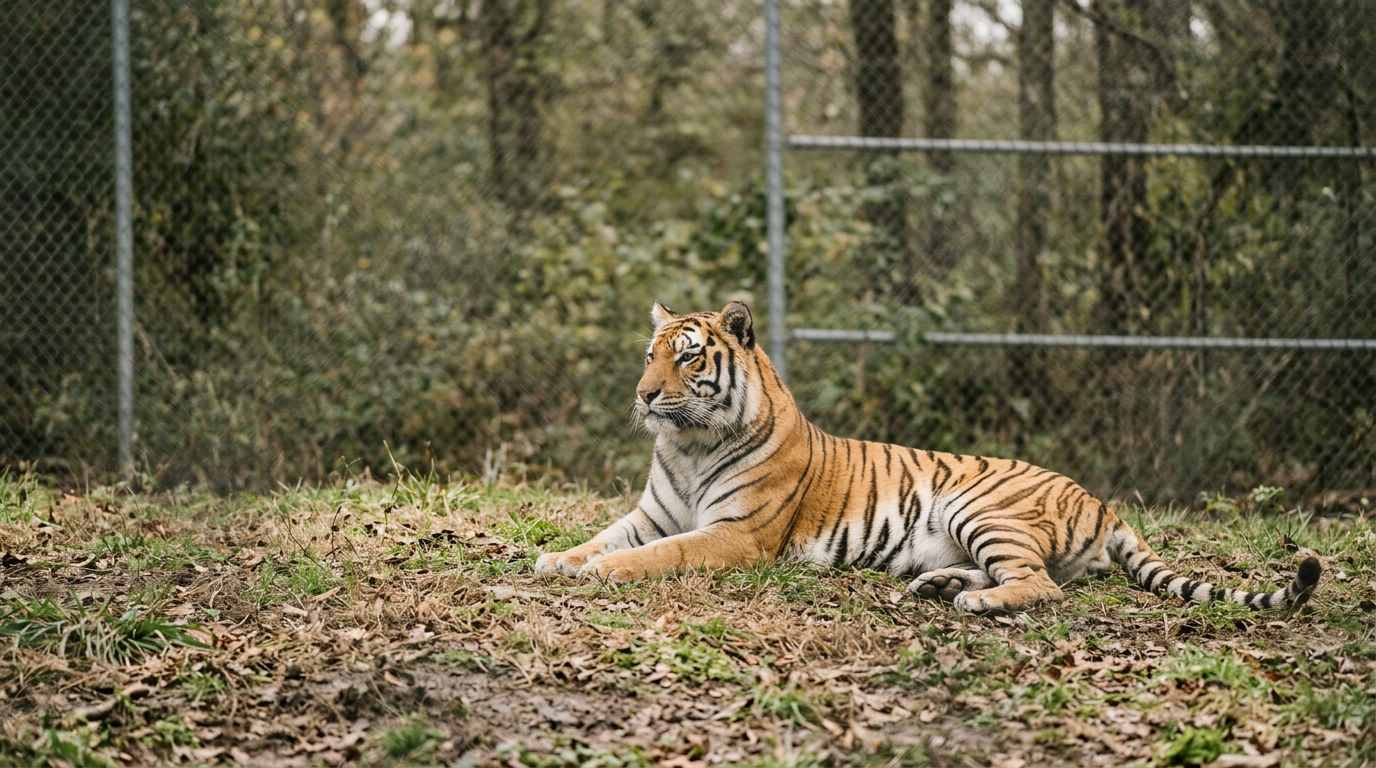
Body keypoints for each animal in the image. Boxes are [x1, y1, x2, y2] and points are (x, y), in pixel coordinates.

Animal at [535, 301, 1322, 613]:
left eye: (688, 357)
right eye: (650, 355)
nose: (642, 396)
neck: (692, 444)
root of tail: (1100, 501)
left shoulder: (737, 534)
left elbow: (658, 555)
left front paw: (604, 572)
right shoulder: (652, 512)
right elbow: (605, 536)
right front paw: (559, 559)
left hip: (982, 506)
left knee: (1042, 586)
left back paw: (973, 601)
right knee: (1032, 574)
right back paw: (938, 586)